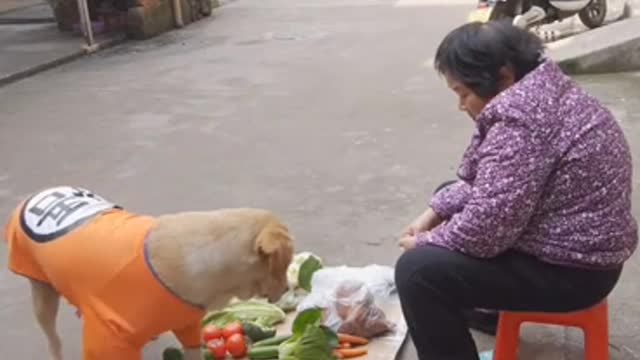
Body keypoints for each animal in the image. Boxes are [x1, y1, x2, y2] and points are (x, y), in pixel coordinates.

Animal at [3, 187, 294, 360]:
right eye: (284, 264)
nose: (289, 289)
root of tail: (44, 191)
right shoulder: (107, 342)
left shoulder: (189, 327)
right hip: (41, 293)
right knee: (52, 337)